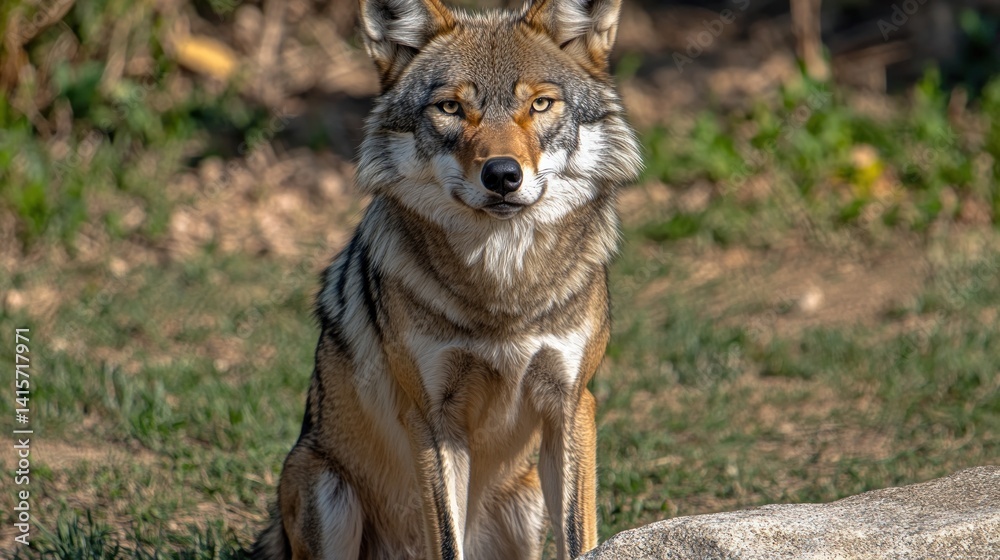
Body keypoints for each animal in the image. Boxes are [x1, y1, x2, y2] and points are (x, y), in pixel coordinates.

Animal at [252, 0, 641, 558]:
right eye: (451, 108)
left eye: (541, 104)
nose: (502, 175)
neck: (502, 288)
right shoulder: (433, 419)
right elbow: (447, 539)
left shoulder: (570, 405)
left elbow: (578, 538)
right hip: (327, 488)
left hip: (524, 504)